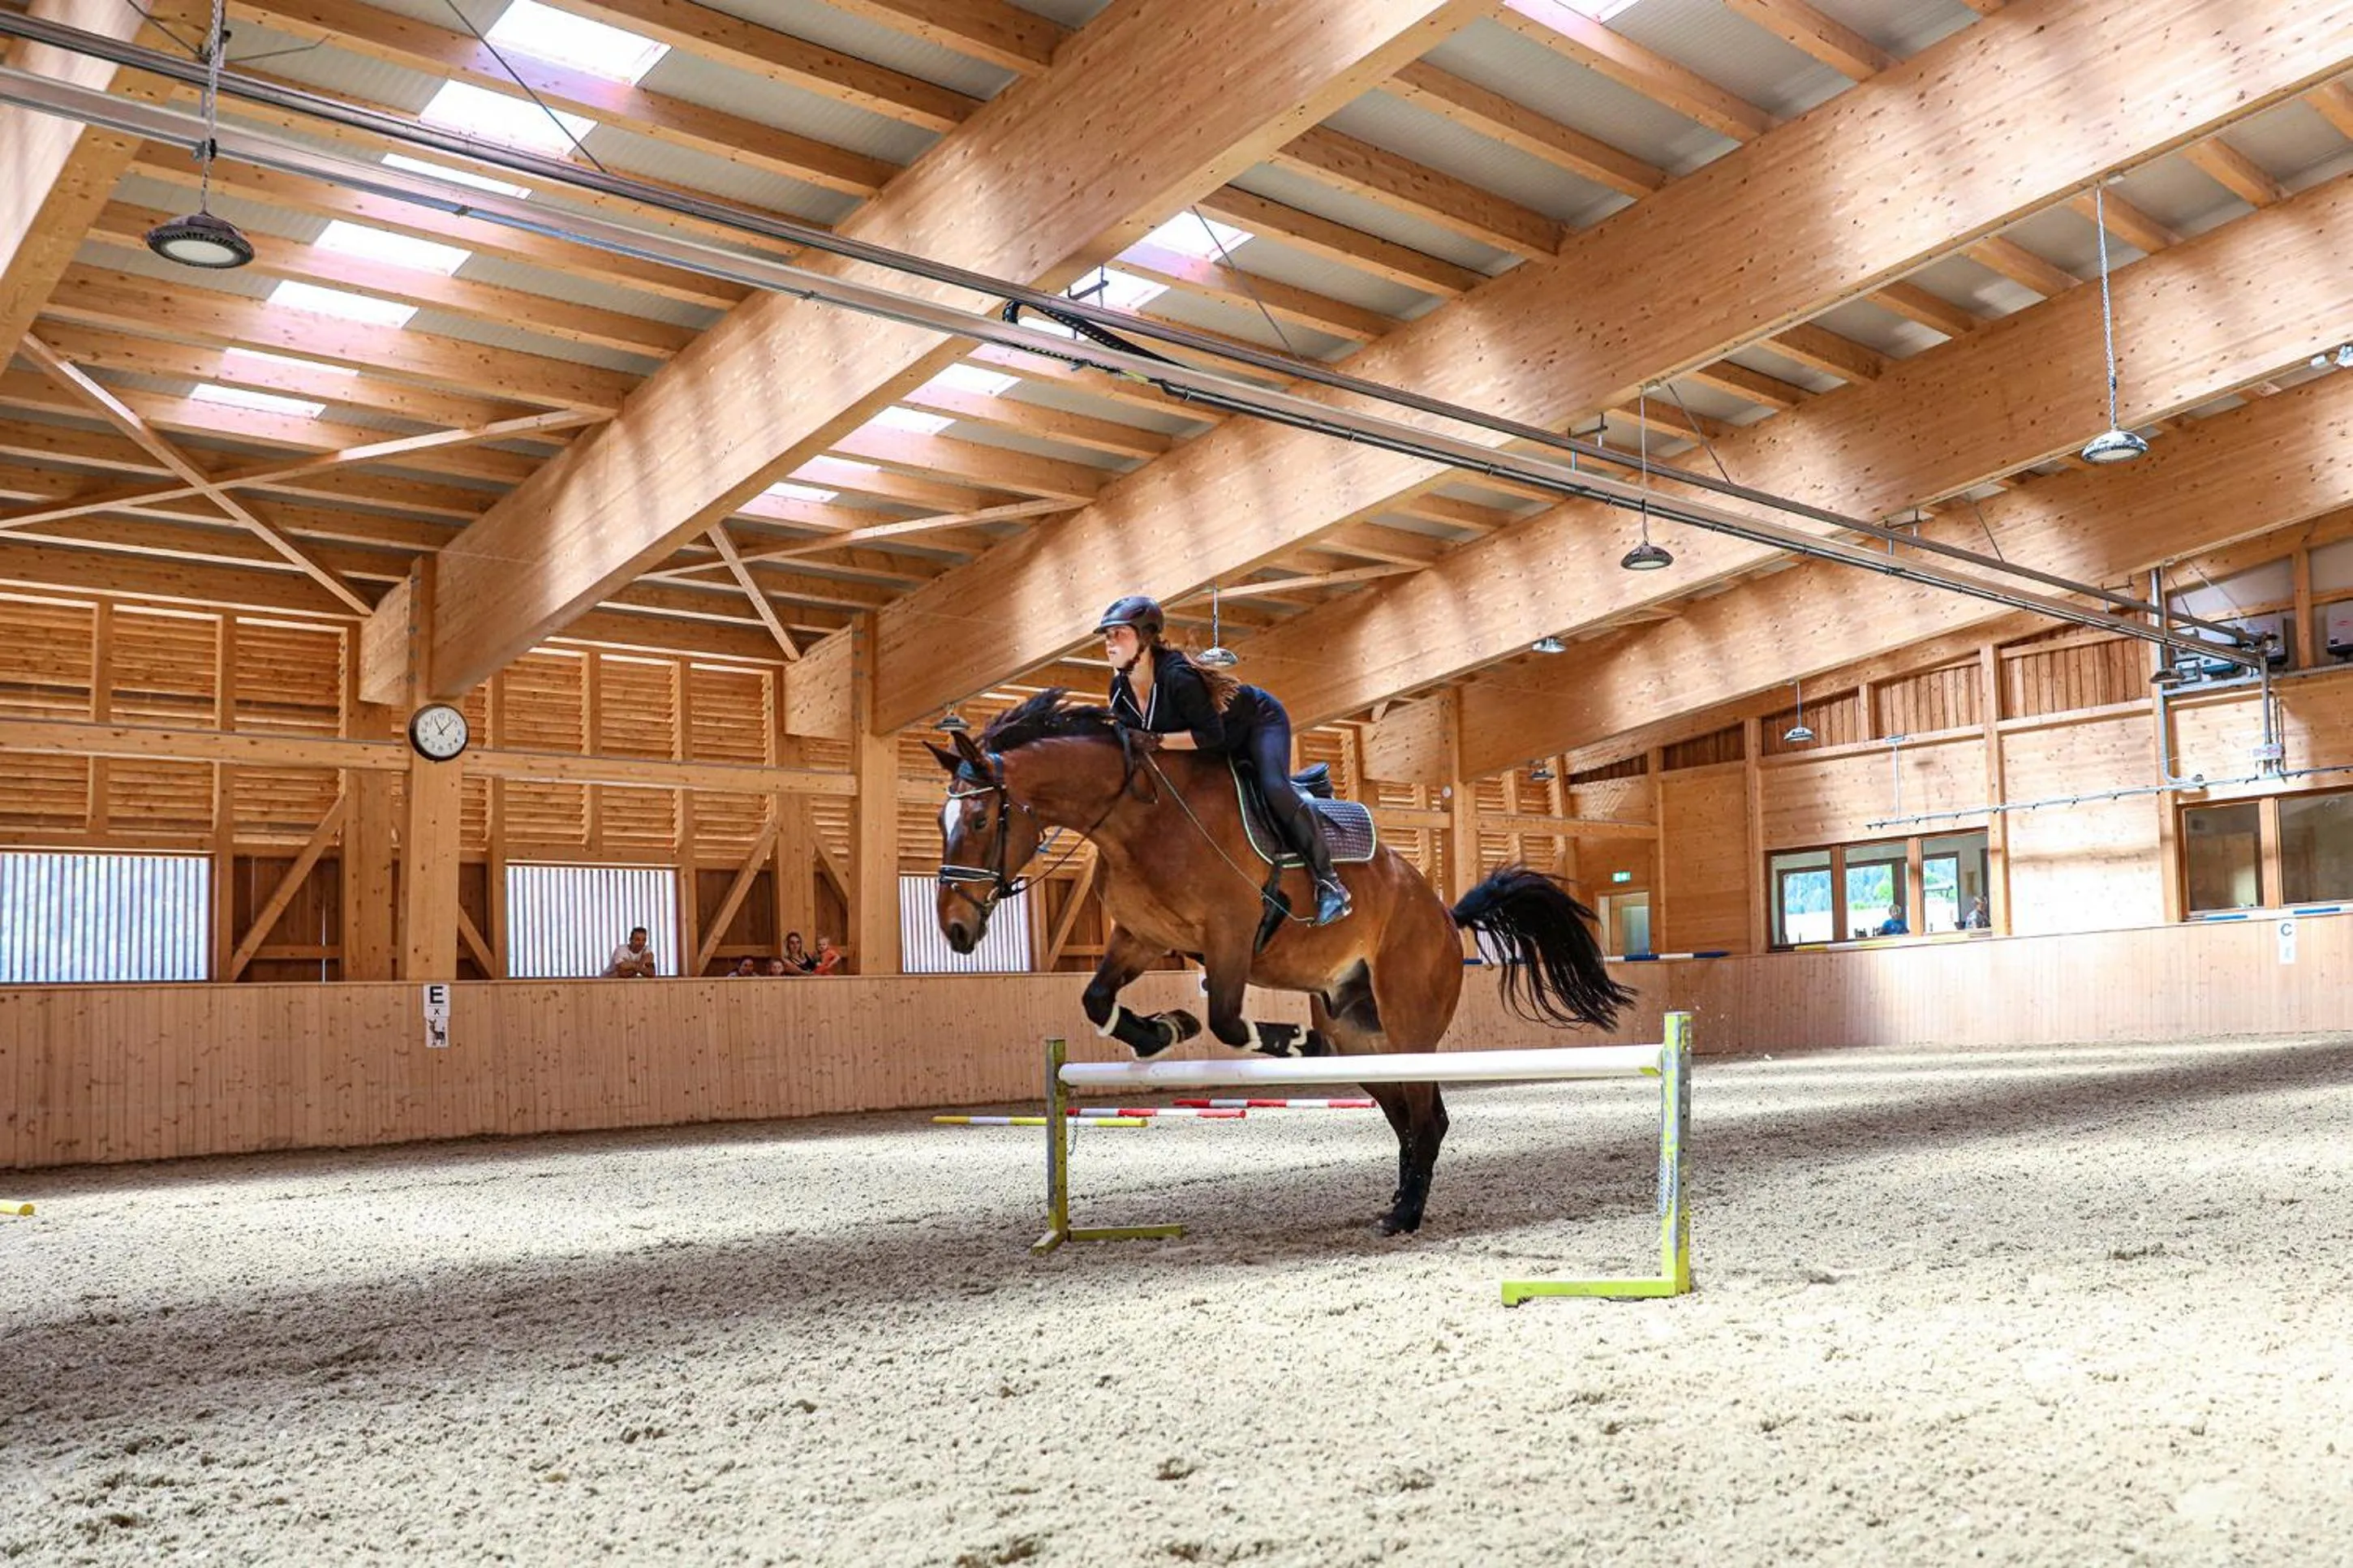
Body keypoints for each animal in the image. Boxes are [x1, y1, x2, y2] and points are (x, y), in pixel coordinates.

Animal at [929, 691, 1636, 1235]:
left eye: (981, 817)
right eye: (942, 821)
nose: (956, 929)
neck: (1137, 818)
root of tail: (1443, 911)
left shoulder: (1230, 937)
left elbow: (1227, 1019)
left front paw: (1281, 1038)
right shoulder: (1141, 937)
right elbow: (1099, 1000)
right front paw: (1162, 1030)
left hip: (1408, 1022)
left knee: (1428, 1115)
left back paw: (1405, 1211)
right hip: (1361, 1037)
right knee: (1407, 1118)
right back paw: (1396, 1201)